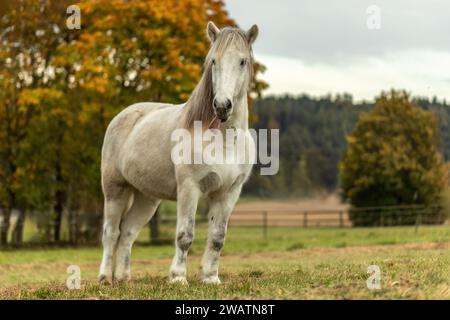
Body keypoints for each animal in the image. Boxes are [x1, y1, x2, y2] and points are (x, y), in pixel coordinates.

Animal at [100, 21, 258, 284]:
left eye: (242, 61)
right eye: (213, 61)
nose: (222, 106)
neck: (223, 141)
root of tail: (125, 115)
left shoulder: (228, 193)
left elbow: (217, 238)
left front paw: (210, 278)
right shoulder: (189, 188)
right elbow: (185, 235)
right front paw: (177, 278)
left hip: (147, 197)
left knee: (128, 232)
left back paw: (123, 279)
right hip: (115, 190)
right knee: (111, 233)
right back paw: (104, 278)